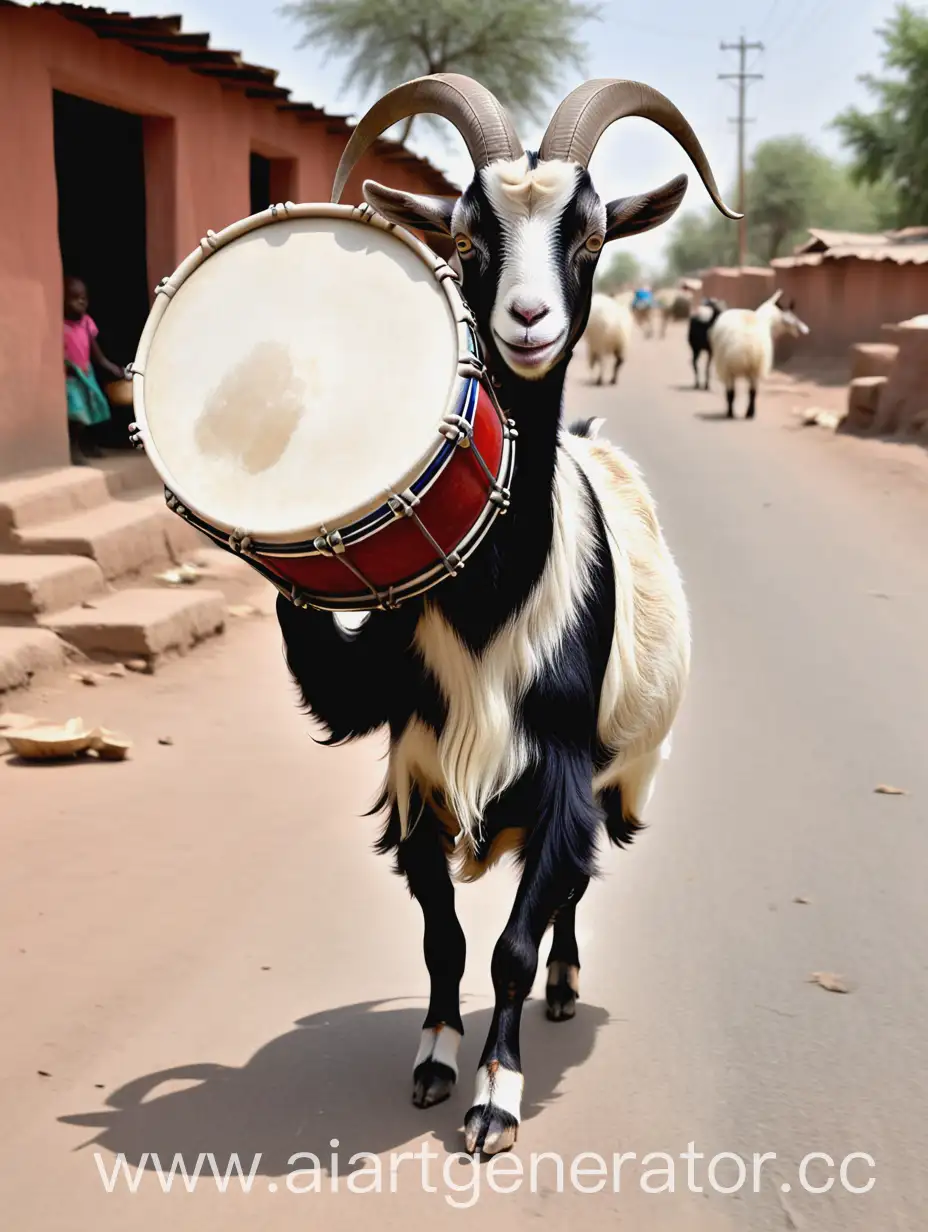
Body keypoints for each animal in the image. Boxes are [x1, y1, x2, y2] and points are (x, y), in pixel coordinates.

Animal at [274, 77, 739, 1153]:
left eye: (593, 235)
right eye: (463, 237)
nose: (526, 321)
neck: (494, 598)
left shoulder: (564, 769)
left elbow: (515, 945)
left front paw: (495, 1096)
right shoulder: (413, 766)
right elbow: (444, 938)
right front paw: (436, 1059)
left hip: (614, 772)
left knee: (572, 889)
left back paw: (568, 984)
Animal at [704, 288, 808, 418]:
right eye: (792, 319)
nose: (805, 330)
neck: (766, 320)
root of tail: (746, 345)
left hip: (735, 367)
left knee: (734, 392)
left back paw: (734, 413)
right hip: (750, 365)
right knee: (750, 391)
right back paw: (747, 413)